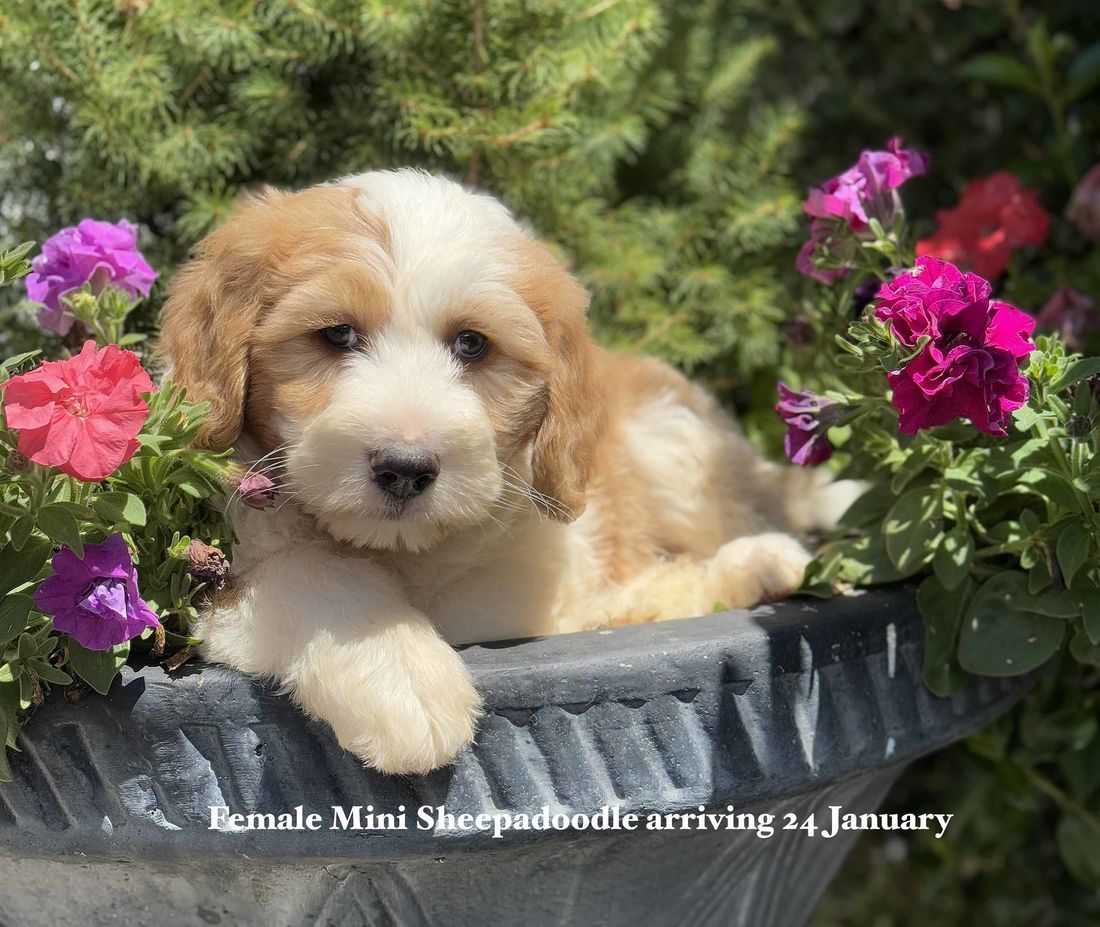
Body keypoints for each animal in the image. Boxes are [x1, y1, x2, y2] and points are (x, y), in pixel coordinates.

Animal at [157, 172, 840, 774]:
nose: (405, 468)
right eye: (337, 334)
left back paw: (764, 561)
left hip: (679, 448)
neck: (410, 557)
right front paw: (403, 677)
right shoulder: (215, 577)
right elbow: (313, 569)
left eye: (472, 344)